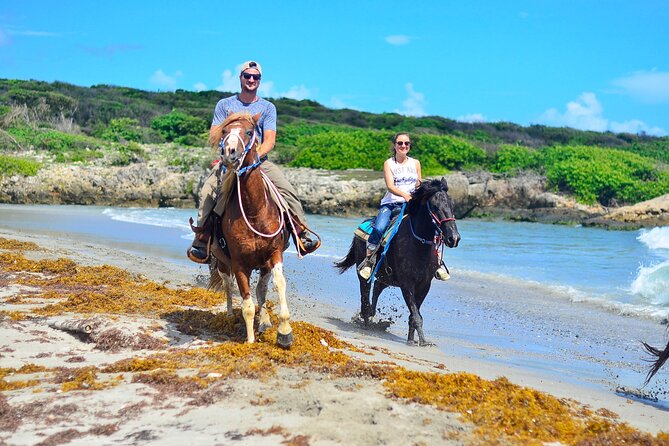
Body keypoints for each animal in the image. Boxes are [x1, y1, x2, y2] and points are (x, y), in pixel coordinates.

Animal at [209, 111, 292, 348]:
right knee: (228, 286)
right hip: (222, 262)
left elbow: (278, 284)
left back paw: (264, 320)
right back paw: (229, 315)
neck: (254, 211)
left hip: (263, 264)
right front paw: (250, 341)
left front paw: (284, 331)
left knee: (261, 290)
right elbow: (246, 303)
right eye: (224, 131)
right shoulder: (238, 263)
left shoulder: (274, 254)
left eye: (248, 132)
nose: (229, 153)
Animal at [334, 178, 460, 344]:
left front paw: (412, 340)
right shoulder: (406, 284)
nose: (454, 238)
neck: (418, 245)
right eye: (435, 206)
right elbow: (416, 315)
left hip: (385, 277)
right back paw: (366, 324)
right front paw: (423, 342)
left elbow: (414, 315)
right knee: (365, 297)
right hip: (364, 274)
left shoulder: (425, 285)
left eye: (452, 205)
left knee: (376, 290)